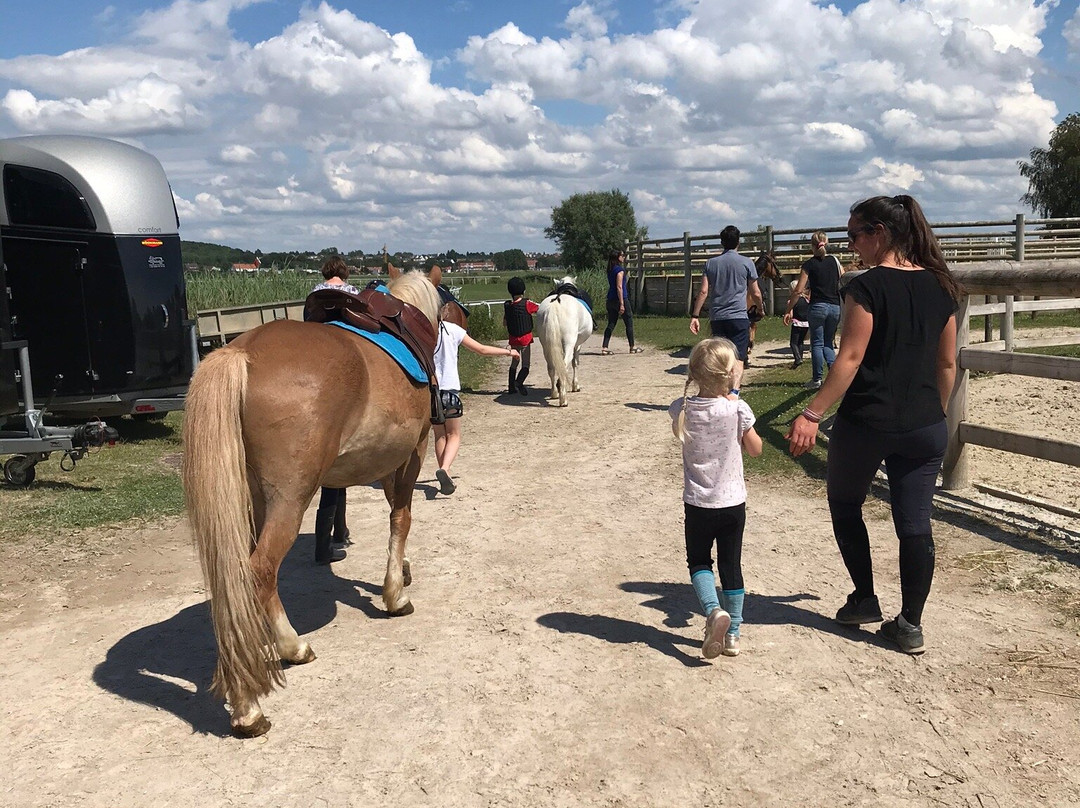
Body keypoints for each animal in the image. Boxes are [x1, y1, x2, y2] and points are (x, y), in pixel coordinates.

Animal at [181, 267, 438, 734]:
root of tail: (240, 352)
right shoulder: (414, 449)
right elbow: (401, 516)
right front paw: (395, 595)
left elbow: (394, 509)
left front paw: (402, 571)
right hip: (289, 498)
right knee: (259, 570)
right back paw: (269, 679)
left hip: (253, 500)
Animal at [535, 278, 596, 406]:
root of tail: (554, 304)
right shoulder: (577, 345)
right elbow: (575, 363)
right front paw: (575, 386)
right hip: (568, 343)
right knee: (564, 366)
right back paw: (563, 399)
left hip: (546, 346)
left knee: (551, 368)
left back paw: (554, 393)